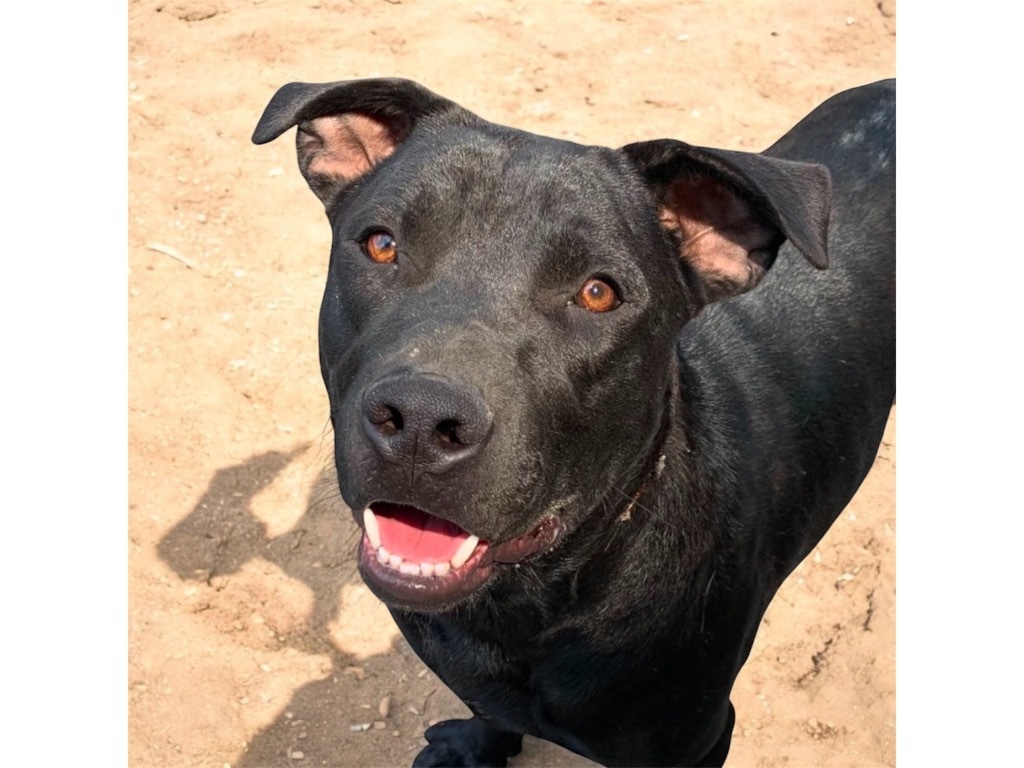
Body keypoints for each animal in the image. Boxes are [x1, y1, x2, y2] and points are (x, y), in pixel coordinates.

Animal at [253, 75, 897, 765]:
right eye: (381, 244)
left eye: (597, 292)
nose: (422, 421)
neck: (534, 605)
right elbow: (487, 710)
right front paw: (476, 746)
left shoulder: (698, 738)